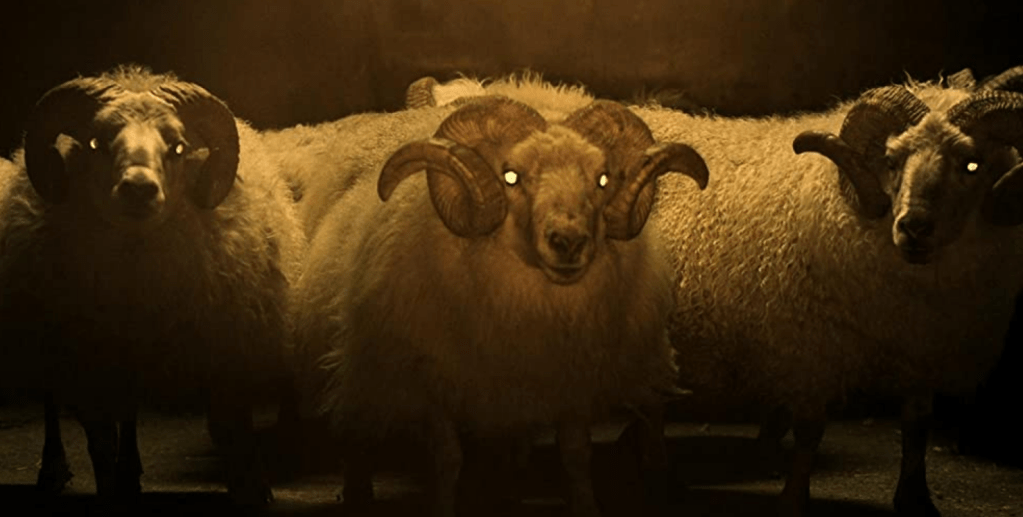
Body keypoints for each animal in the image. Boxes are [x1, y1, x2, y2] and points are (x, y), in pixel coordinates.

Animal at [0, 65, 304, 506]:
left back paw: (131, 470)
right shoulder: (84, 362)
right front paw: (110, 490)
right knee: (53, 399)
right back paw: (54, 469)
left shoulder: (225, 347)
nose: (139, 189)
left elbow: (231, 426)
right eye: (96, 143)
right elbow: (99, 444)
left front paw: (253, 489)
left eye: (177, 148)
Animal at [289, 93, 708, 516]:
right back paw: (357, 490)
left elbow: (576, 455)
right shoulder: (431, 383)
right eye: (511, 176)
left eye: (603, 178)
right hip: (354, 361)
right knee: (353, 427)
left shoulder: (570, 379)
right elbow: (447, 460)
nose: (569, 241)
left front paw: (584, 505)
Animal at [414, 72, 1023, 517]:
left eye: (972, 163)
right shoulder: (810, 346)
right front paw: (793, 499)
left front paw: (916, 500)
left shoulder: (926, 346)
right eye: (893, 160)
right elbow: (810, 430)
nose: (914, 227)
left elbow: (917, 428)